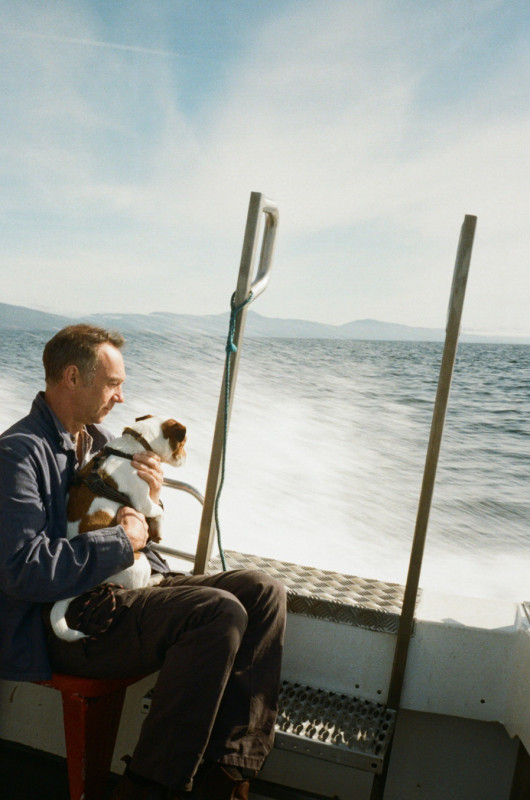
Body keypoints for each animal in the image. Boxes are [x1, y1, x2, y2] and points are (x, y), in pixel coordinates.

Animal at [50, 414, 187, 642]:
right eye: (183, 443)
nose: (185, 457)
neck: (136, 445)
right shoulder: (143, 502)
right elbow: (159, 511)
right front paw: (158, 531)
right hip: (140, 563)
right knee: (140, 585)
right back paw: (156, 578)